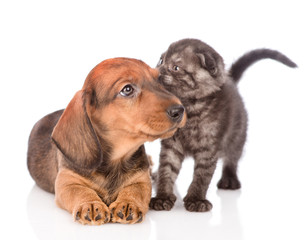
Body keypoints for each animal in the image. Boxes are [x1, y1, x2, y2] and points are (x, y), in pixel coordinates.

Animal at [27, 57, 186, 224]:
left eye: (159, 79)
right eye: (127, 89)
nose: (180, 110)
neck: (115, 160)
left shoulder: (142, 180)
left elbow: (135, 190)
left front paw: (128, 203)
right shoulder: (66, 182)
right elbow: (80, 191)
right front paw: (90, 204)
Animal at [150, 38, 296, 212]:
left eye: (175, 67)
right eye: (161, 61)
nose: (155, 72)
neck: (189, 108)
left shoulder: (209, 147)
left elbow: (202, 176)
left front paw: (196, 200)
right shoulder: (171, 145)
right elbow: (166, 170)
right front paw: (162, 196)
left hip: (237, 136)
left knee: (232, 159)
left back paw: (229, 179)